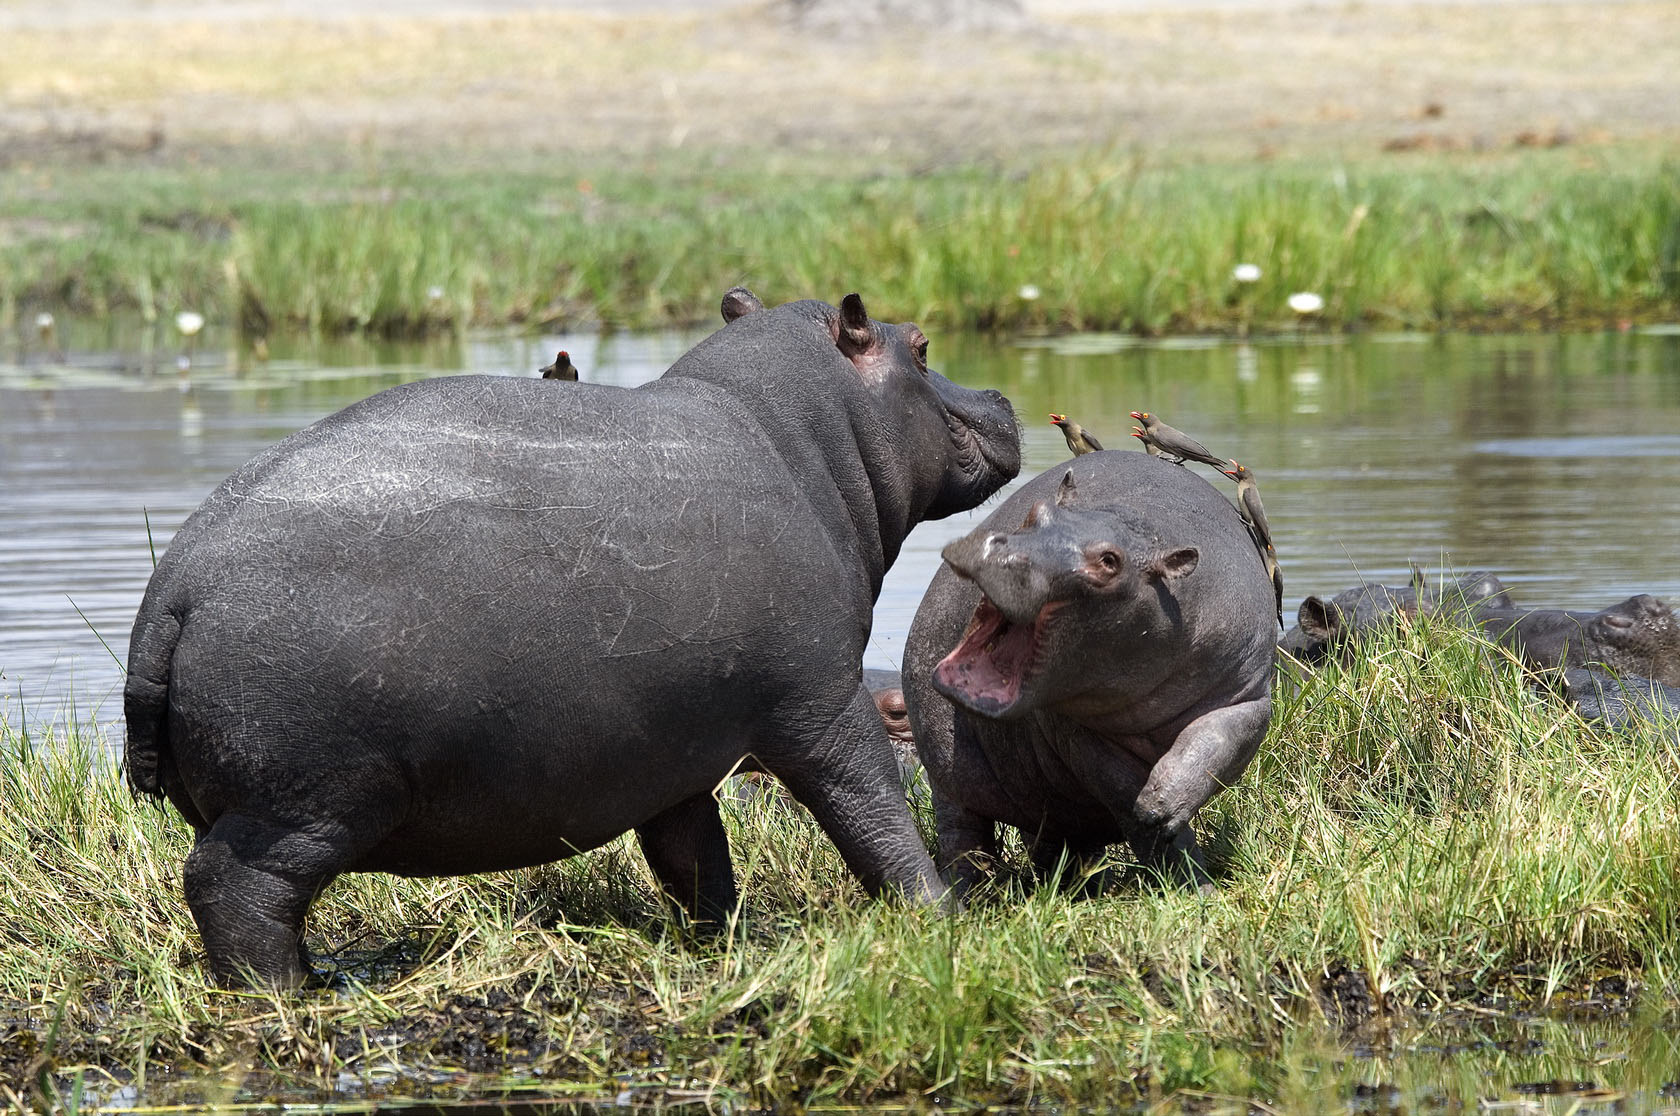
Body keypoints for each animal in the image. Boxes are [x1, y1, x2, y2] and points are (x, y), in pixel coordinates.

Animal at [123, 290, 1020, 987]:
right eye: (922, 346)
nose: (1006, 399)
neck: (805, 437)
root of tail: (173, 590)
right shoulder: (821, 699)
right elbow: (871, 810)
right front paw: (941, 918)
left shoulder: (678, 748)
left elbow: (695, 856)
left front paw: (730, 942)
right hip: (299, 809)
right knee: (234, 892)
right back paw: (288, 994)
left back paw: (311, 978)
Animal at [902, 453, 1276, 894]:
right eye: (1035, 512)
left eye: (1110, 561)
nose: (1001, 551)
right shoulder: (1079, 732)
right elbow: (1125, 795)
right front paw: (1192, 881)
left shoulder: (1248, 695)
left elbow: (1210, 745)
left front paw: (1159, 809)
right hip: (945, 774)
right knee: (963, 835)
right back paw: (967, 894)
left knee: (1053, 838)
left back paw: (1075, 886)